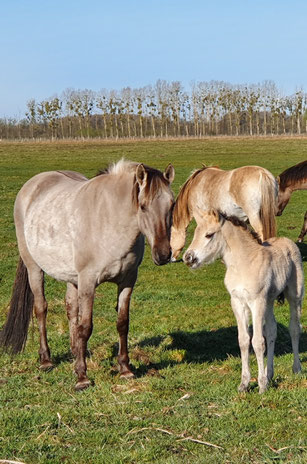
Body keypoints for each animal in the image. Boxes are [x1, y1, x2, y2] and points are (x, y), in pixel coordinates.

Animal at [184, 210, 304, 396]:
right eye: (195, 233)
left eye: (209, 235)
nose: (188, 258)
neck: (243, 265)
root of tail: (287, 240)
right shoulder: (238, 303)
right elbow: (243, 340)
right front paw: (244, 384)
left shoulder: (257, 302)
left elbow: (257, 342)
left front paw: (261, 386)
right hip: (269, 301)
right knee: (272, 331)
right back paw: (269, 374)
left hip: (294, 295)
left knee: (294, 328)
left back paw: (296, 368)